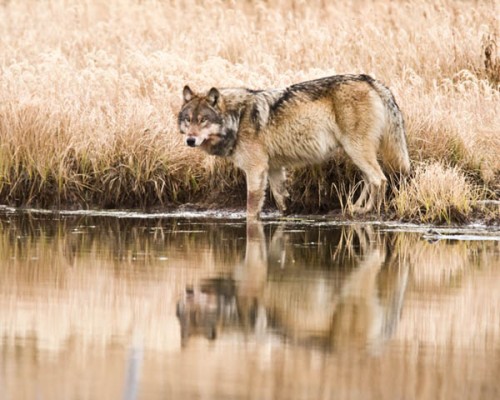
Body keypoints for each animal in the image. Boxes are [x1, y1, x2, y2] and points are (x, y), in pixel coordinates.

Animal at [179, 74, 410, 219]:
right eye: (188, 120)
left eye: (203, 120)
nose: (190, 141)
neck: (237, 117)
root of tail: (370, 80)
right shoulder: (273, 168)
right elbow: (282, 201)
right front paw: (286, 217)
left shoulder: (256, 169)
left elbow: (252, 207)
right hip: (355, 152)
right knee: (369, 180)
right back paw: (355, 208)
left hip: (356, 150)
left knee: (379, 180)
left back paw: (368, 211)